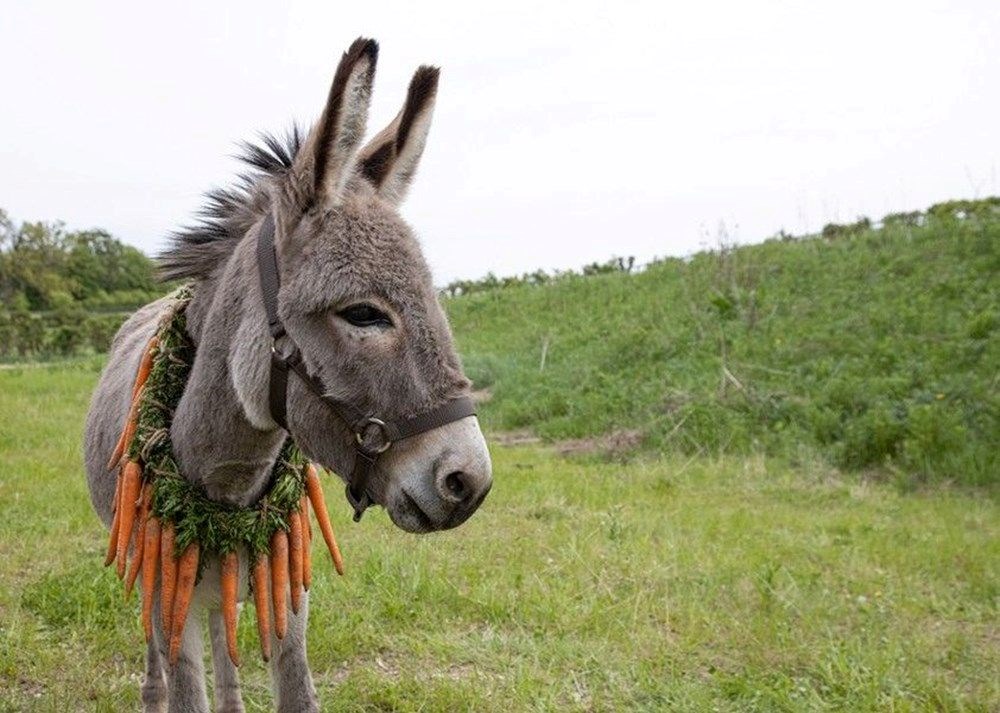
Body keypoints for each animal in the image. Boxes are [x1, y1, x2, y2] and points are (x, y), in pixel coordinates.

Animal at [83, 37, 493, 712]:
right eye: (363, 313)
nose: (471, 483)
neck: (228, 487)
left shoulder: (289, 592)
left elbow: (294, 688)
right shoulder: (170, 592)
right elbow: (182, 678)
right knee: (158, 648)